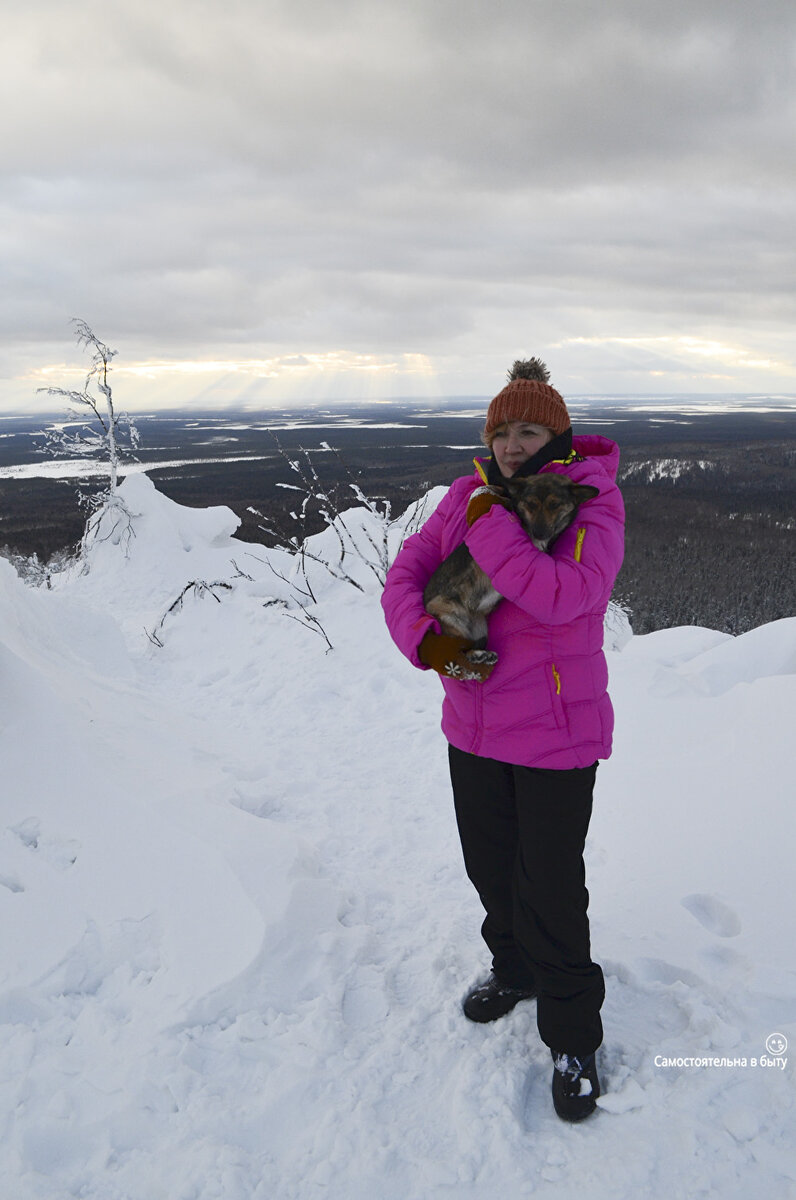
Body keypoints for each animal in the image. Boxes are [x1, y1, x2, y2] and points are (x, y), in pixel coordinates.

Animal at [422, 472, 597, 672]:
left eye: (554, 504)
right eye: (531, 504)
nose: (539, 532)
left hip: (480, 629)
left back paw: (483, 655)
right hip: (452, 620)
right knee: (461, 650)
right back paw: (477, 656)